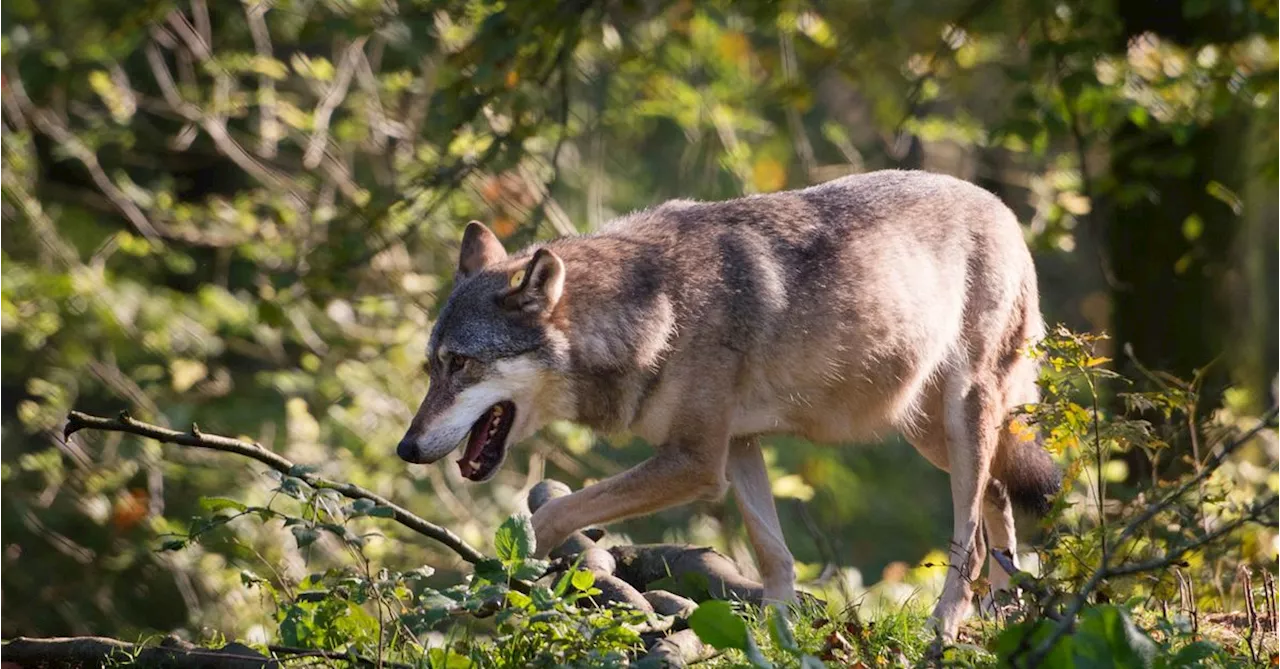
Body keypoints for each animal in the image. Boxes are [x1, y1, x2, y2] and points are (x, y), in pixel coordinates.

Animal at [396, 170, 1059, 642]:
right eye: (432, 366)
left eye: (461, 364)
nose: (406, 447)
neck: (658, 312)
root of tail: (1002, 209)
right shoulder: (737, 447)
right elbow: (775, 559)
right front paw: (779, 638)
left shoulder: (695, 461)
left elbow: (555, 513)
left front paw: (510, 574)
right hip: (928, 432)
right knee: (997, 500)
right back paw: (1004, 614)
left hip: (959, 417)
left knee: (972, 535)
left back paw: (946, 627)